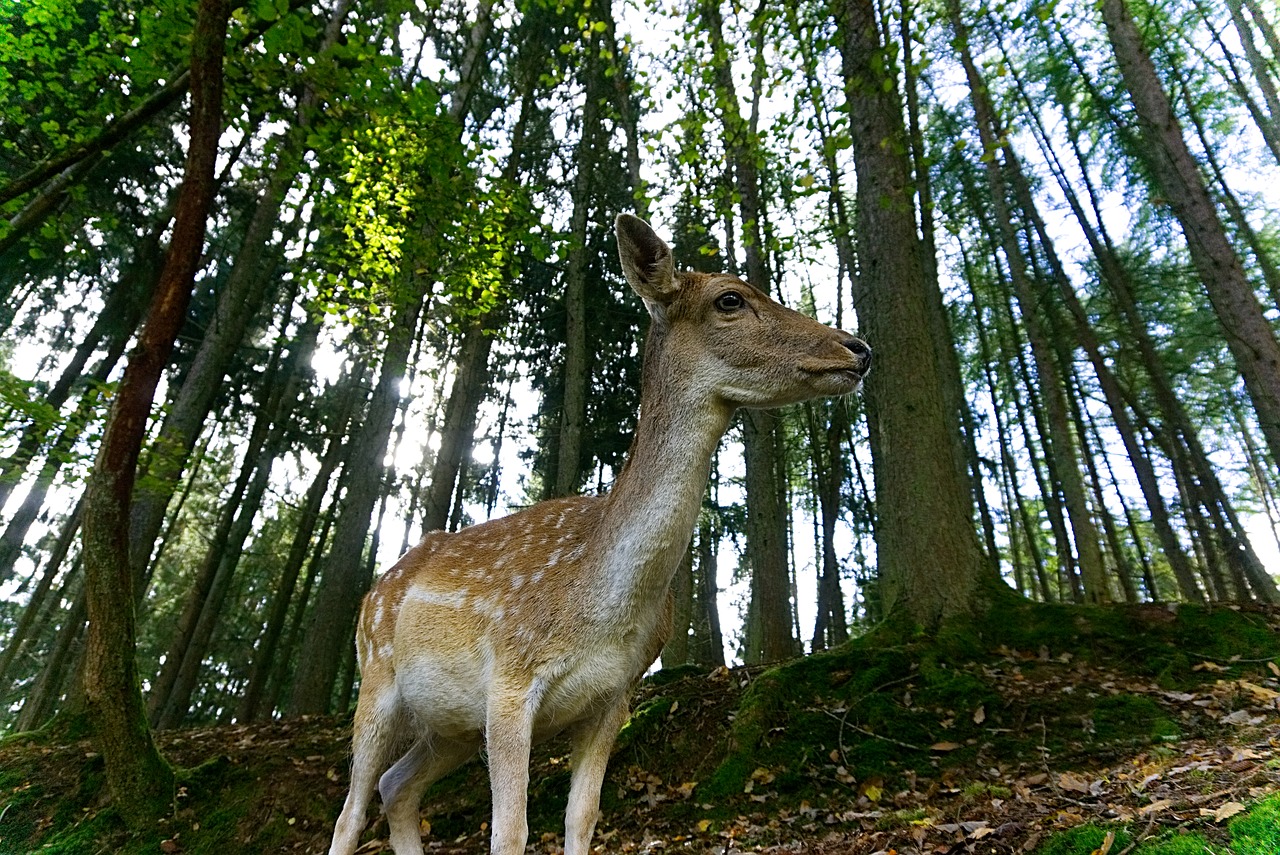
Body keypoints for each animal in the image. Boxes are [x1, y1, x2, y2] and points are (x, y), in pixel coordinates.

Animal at [327, 213, 870, 855]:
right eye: (730, 299)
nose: (858, 348)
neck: (601, 605)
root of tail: (371, 591)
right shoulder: (509, 678)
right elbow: (510, 831)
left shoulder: (615, 694)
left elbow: (582, 818)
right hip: (377, 675)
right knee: (351, 811)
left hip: (451, 724)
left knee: (397, 786)